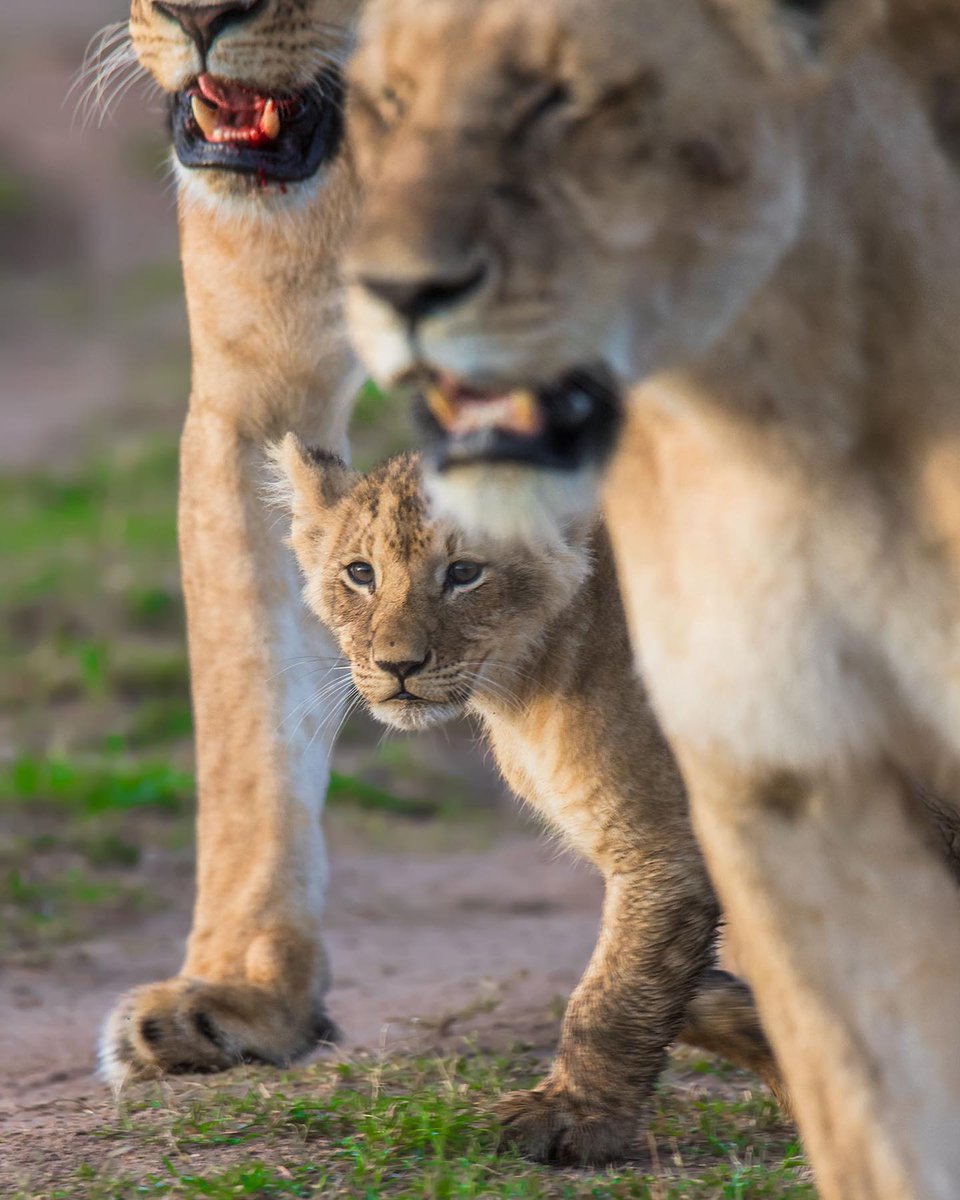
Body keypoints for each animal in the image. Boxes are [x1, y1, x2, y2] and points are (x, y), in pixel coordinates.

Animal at [274, 436, 789, 1161]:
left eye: (464, 572)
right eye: (359, 573)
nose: (397, 665)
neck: (526, 686)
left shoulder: (669, 844)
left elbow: (613, 992)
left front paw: (573, 1118)